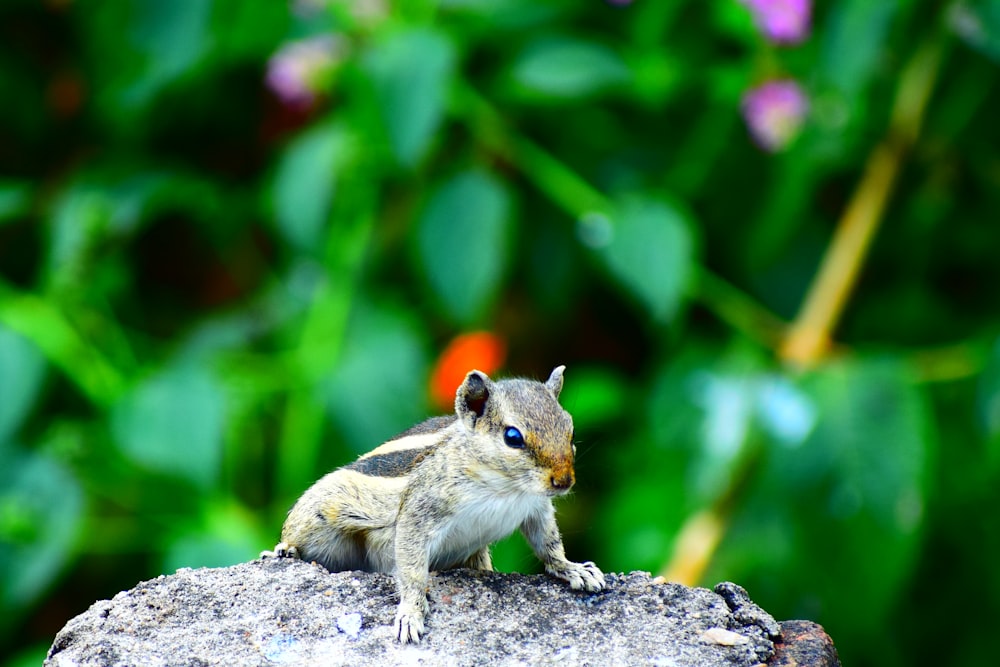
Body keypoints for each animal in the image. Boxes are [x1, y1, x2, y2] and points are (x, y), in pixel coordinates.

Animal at [264, 368, 600, 644]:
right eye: (513, 437)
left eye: (570, 429)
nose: (563, 481)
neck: (506, 488)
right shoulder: (420, 511)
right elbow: (412, 569)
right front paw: (410, 614)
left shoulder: (536, 510)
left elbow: (549, 543)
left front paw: (573, 569)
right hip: (320, 516)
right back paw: (285, 550)